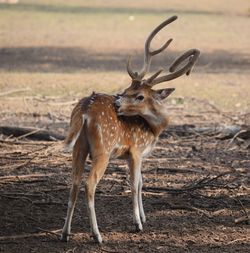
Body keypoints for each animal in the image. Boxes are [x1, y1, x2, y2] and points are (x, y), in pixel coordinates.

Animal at [60, 15, 199, 243]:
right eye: (128, 89)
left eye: (139, 95)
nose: (117, 100)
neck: (153, 130)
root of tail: (85, 110)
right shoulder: (135, 149)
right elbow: (134, 184)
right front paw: (137, 224)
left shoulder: (136, 155)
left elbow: (141, 182)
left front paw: (144, 217)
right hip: (103, 149)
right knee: (89, 184)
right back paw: (97, 235)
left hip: (78, 147)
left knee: (73, 183)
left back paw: (65, 234)